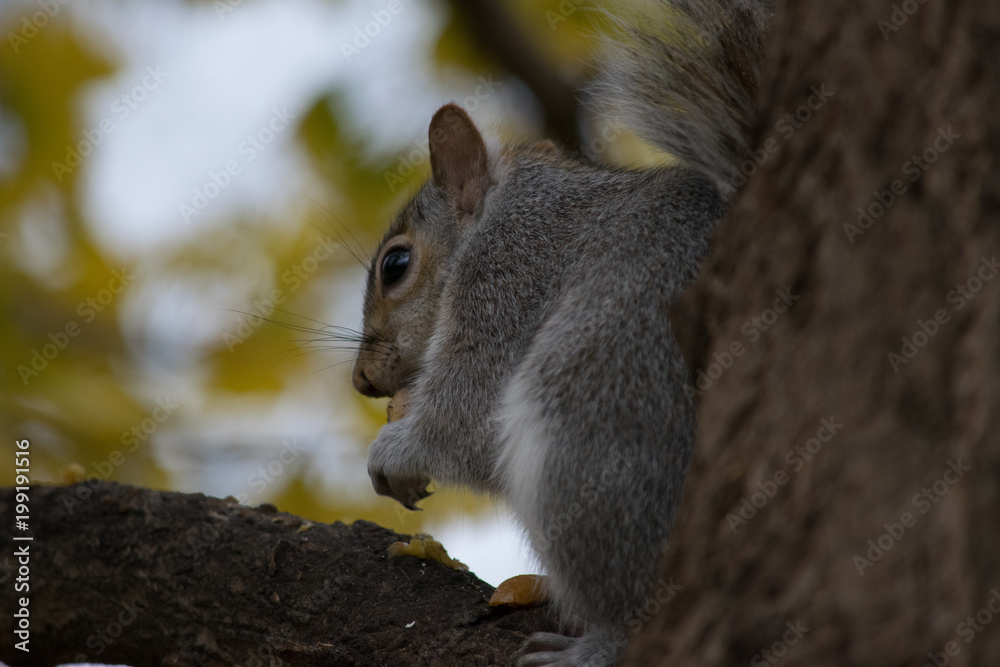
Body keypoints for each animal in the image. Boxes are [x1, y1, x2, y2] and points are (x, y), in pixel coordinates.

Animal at [350, 0, 769, 664]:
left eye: (396, 265)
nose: (362, 380)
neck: (501, 210)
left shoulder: (511, 279)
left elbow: (470, 418)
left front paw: (396, 449)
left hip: (594, 403)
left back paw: (596, 643)